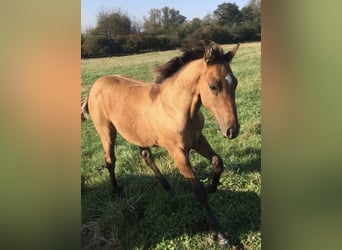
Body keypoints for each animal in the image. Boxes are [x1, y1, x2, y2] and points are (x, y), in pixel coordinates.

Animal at [81, 41, 240, 246]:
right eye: (214, 86)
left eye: (235, 83)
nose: (232, 130)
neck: (176, 107)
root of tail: (95, 85)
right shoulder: (177, 151)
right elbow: (198, 190)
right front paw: (221, 236)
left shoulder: (197, 139)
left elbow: (217, 161)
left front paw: (212, 187)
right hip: (106, 131)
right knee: (110, 159)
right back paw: (116, 191)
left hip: (137, 132)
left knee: (145, 156)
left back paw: (167, 186)